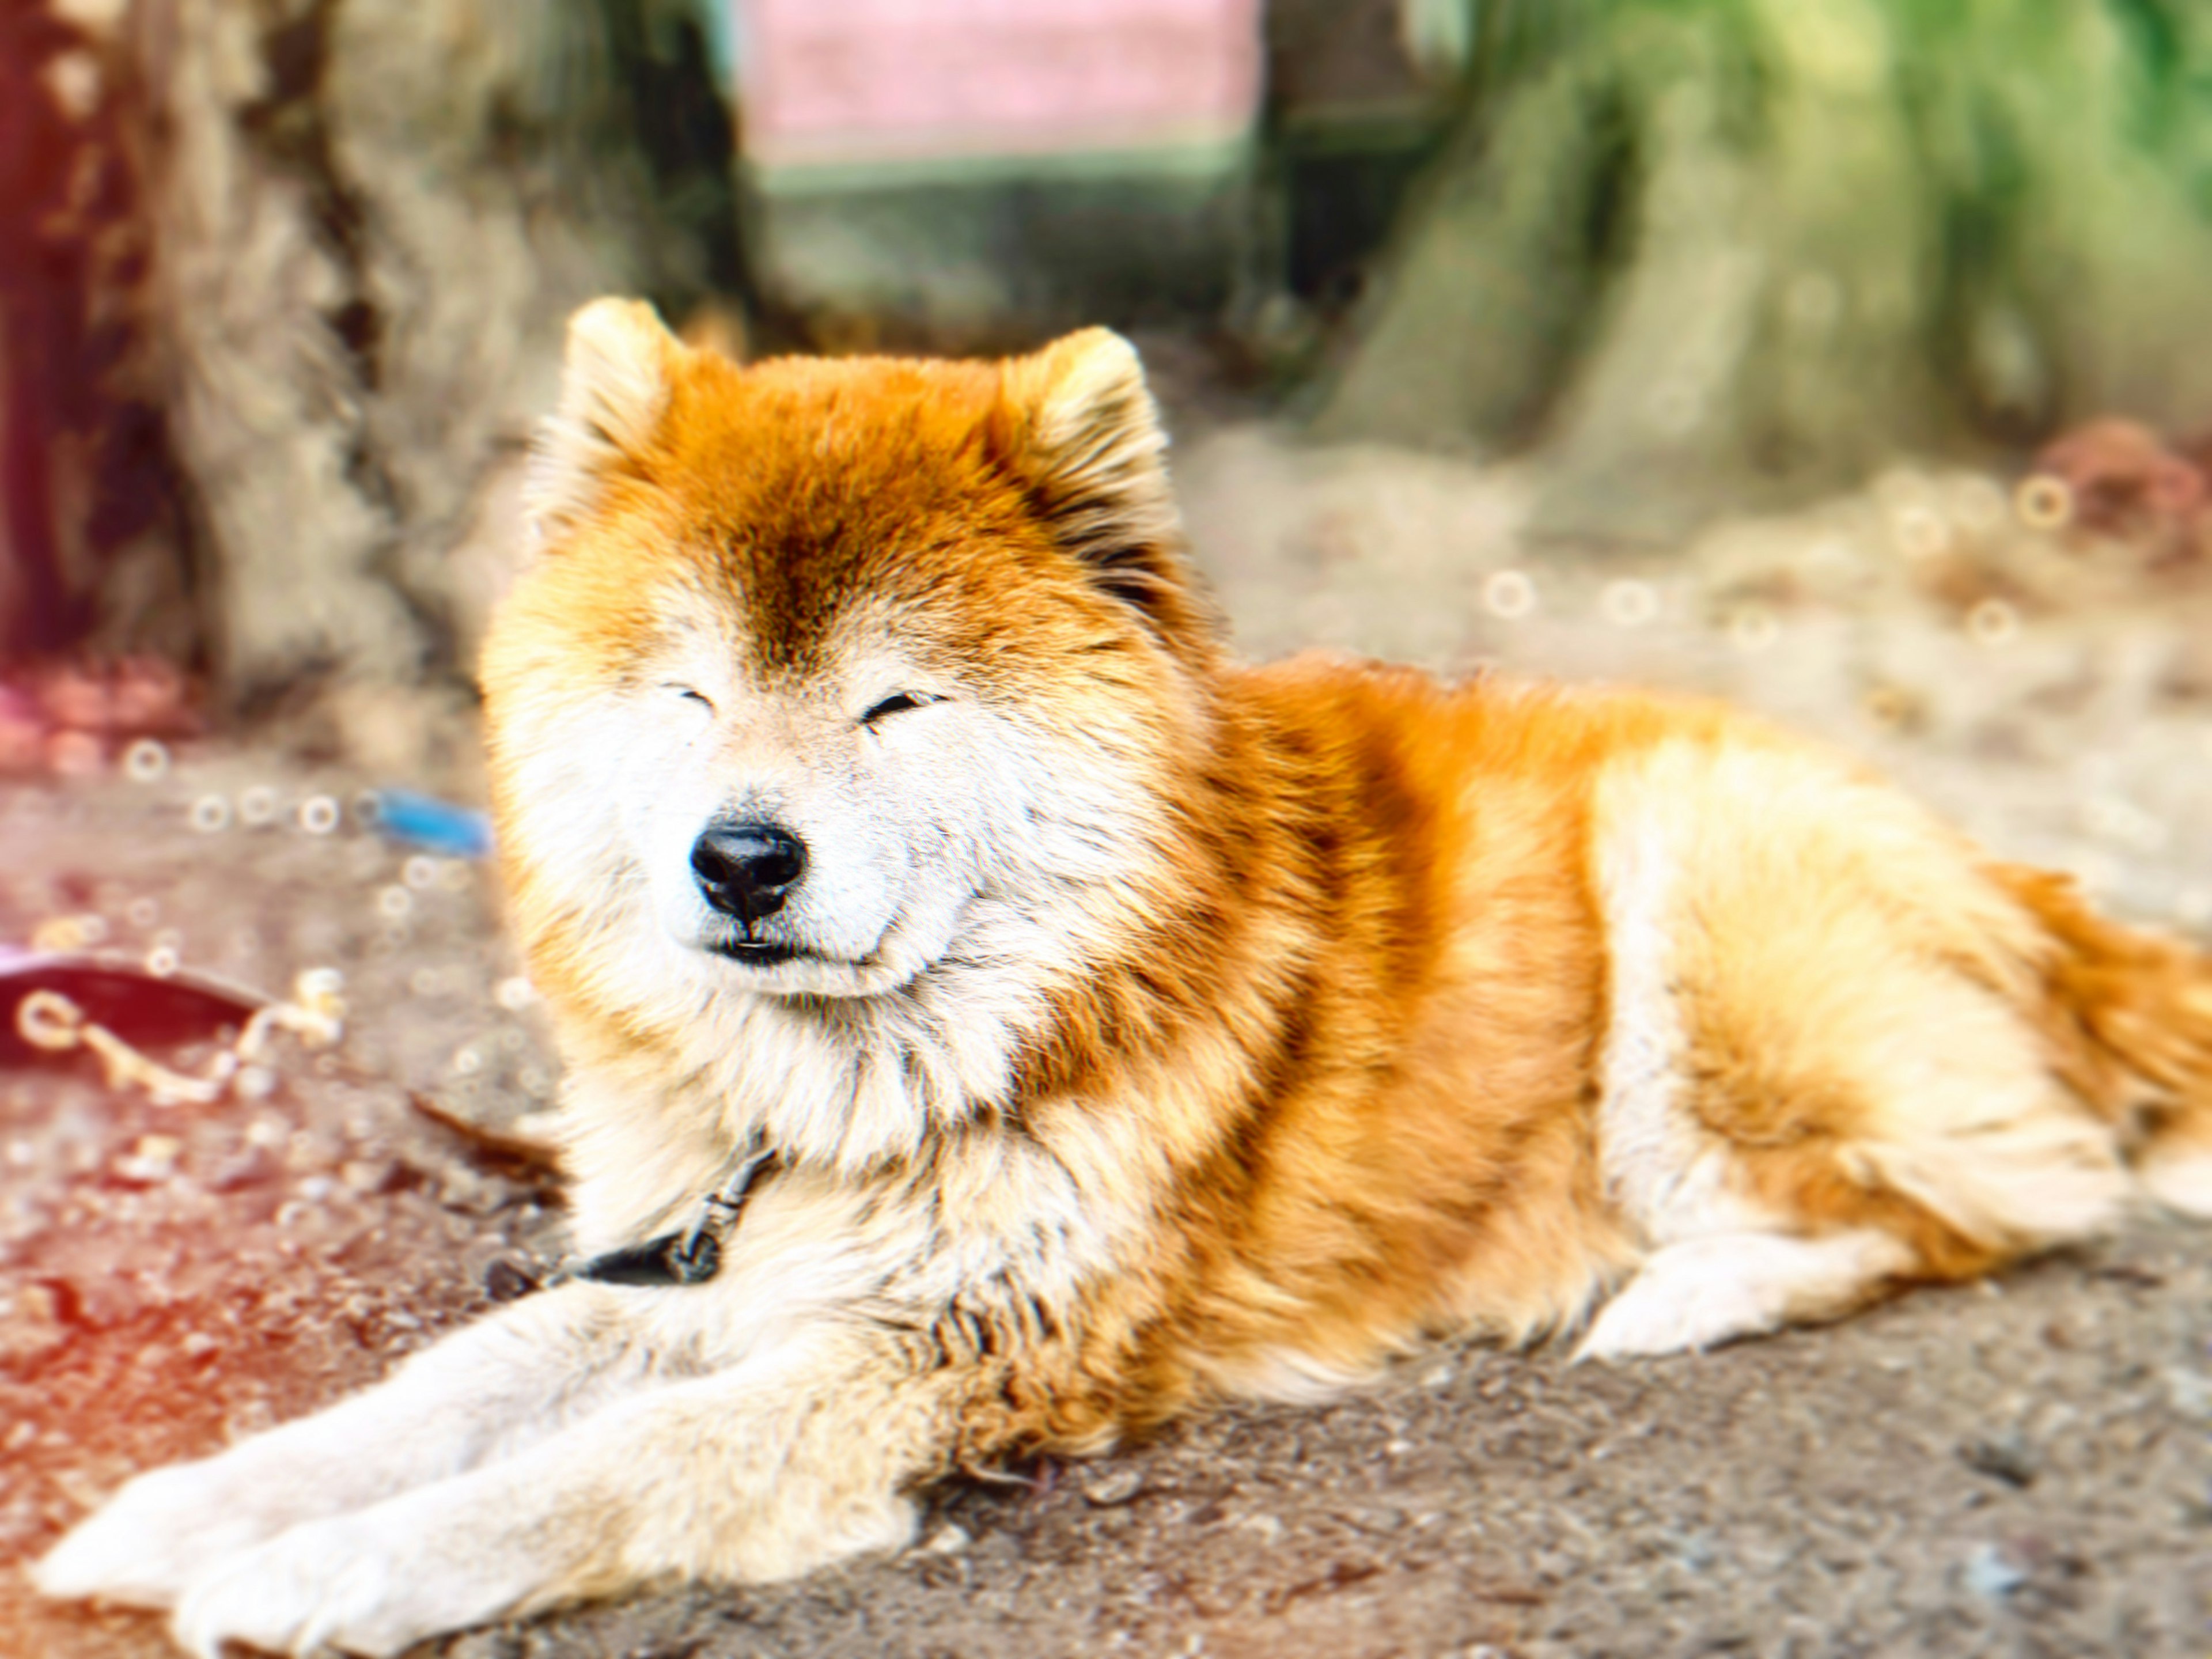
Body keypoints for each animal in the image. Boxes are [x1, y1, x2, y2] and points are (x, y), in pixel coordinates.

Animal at [30, 303, 2212, 1659]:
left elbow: (612, 1468)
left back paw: (1675, 1292)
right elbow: (447, 1387)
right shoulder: (709, 1269)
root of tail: (2017, 875)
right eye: (693, 691)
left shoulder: (970, 1345)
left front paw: (345, 1574)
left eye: (897, 704)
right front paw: (192, 1509)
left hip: (1691, 886)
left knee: (1991, 1193)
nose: (741, 860)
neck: (855, 1096)